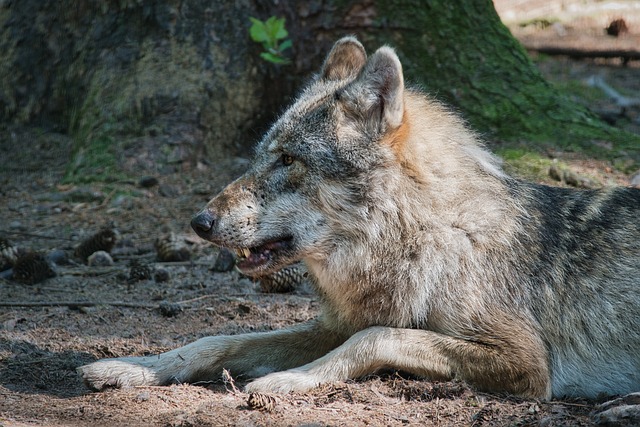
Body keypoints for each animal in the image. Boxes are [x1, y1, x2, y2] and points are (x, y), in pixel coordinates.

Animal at [76, 36, 640, 402]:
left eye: (289, 161)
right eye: (259, 157)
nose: (199, 223)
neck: (429, 240)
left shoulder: (524, 363)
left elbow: (376, 337)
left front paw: (289, 382)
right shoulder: (333, 324)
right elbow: (218, 340)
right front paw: (134, 367)